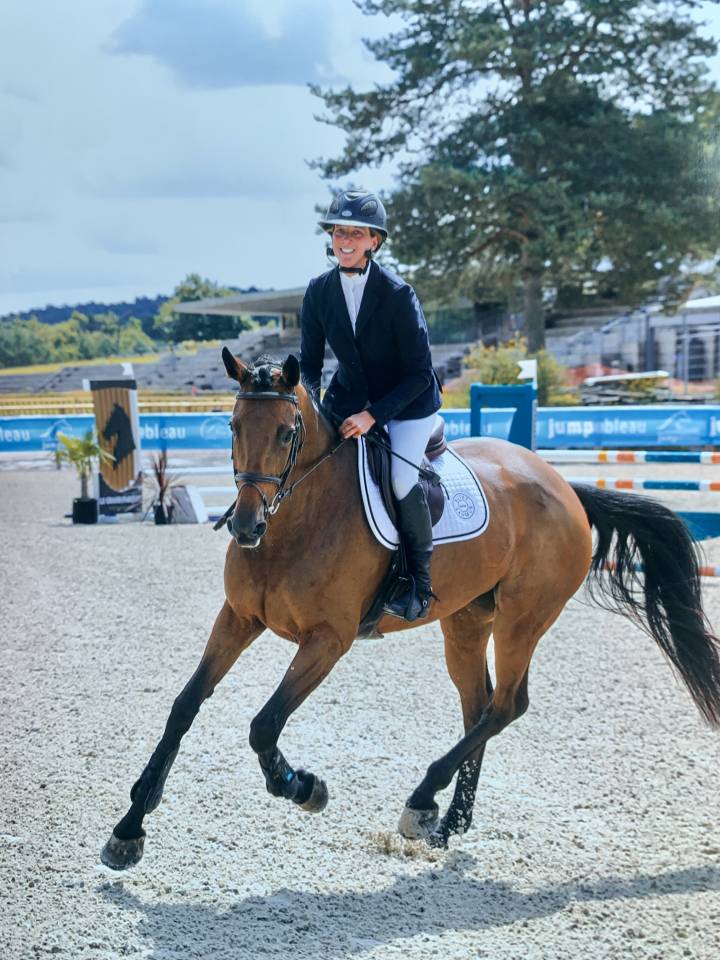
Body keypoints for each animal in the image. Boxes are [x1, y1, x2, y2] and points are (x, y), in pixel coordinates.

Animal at [101, 351, 720, 870]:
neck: (295, 523)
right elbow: (184, 707)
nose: (247, 528)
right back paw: (449, 822)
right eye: (232, 428)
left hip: (523, 619)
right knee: (479, 705)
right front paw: (130, 827)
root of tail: (564, 487)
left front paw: (305, 788)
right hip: (467, 621)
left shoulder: (328, 640)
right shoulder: (238, 618)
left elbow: (264, 725)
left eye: (286, 432)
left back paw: (422, 801)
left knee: (506, 705)